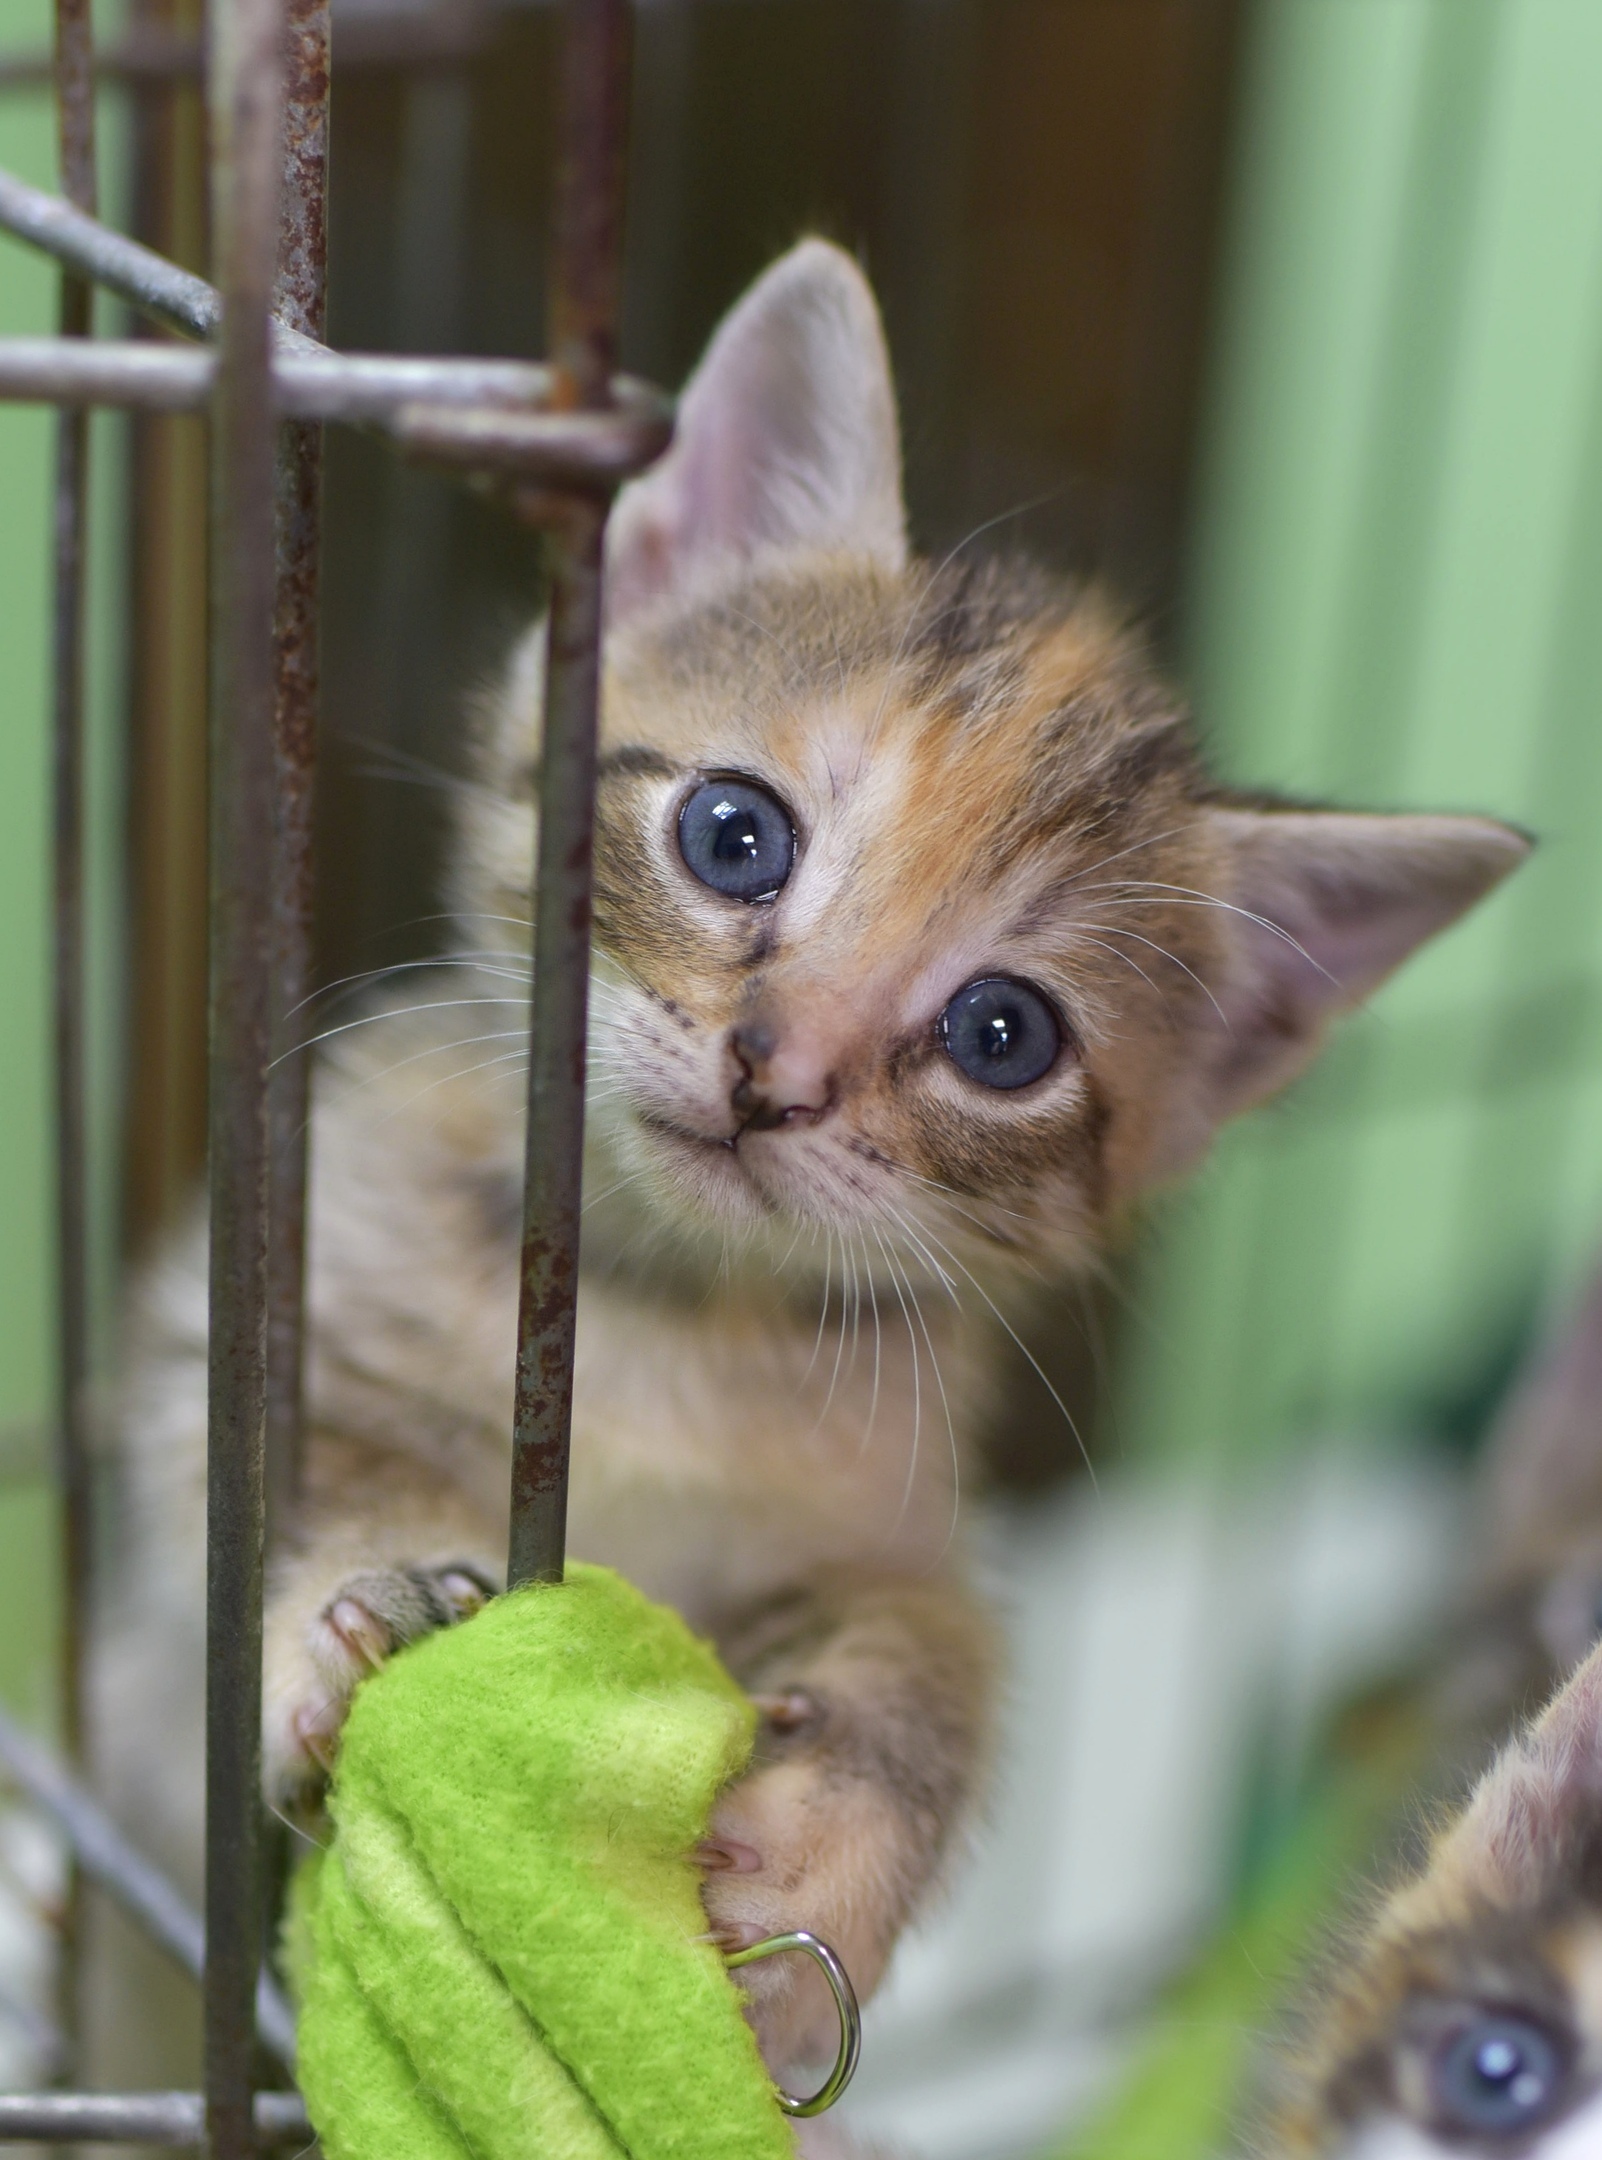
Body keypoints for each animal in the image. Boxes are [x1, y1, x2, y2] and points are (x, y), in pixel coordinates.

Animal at [97, 236, 1528, 2073]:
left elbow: (938, 1667)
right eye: (732, 833)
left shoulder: (909, 1531)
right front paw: (354, 1613)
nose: (774, 1073)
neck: (658, 1321)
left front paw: (825, 1840)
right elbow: (281, 1467)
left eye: (1001, 1035)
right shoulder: (231, 1335)